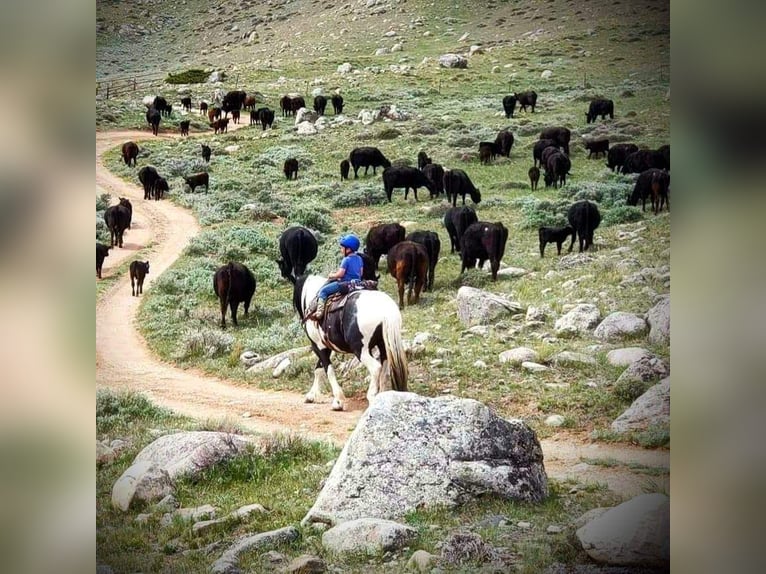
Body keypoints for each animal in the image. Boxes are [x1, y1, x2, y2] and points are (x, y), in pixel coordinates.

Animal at [292, 276, 408, 412]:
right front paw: (311, 395)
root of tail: (386, 310)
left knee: (376, 368)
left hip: (360, 350)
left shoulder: (318, 346)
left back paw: (371, 396)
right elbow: (319, 369)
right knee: (384, 371)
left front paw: (338, 401)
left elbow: (328, 370)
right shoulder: (325, 347)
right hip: (384, 347)